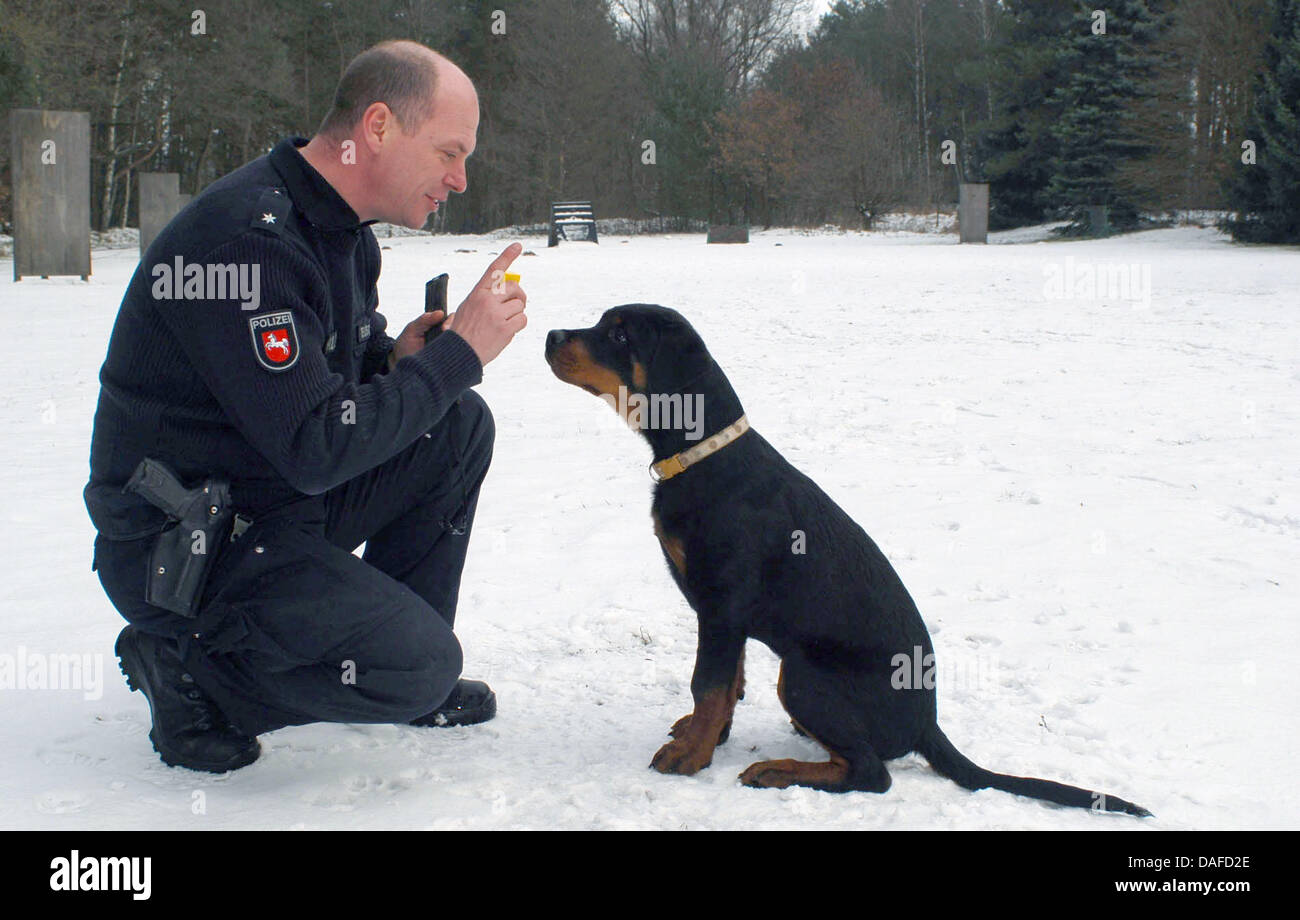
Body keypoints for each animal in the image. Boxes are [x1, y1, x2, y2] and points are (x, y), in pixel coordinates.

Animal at [543, 305, 1154, 816]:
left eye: (620, 335)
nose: (549, 335)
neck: (702, 456)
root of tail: (927, 726)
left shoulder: (721, 606)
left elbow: (708, 683)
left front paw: (690, 758)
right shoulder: (724, 616)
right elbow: (727, 682)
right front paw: (707, 736)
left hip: (803, 673)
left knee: (871, 773)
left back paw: (777, 770)